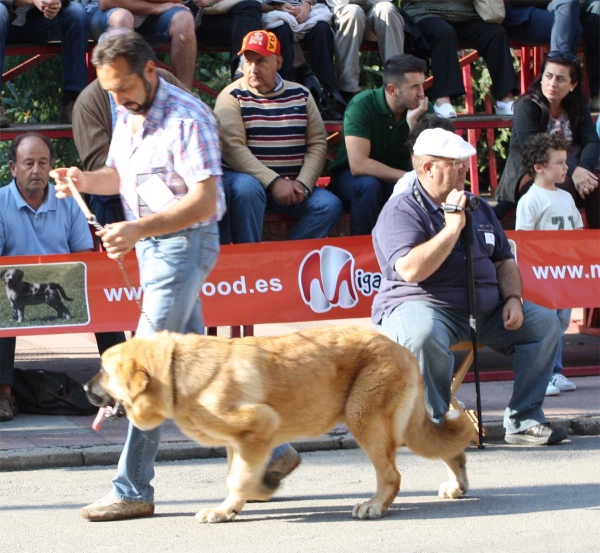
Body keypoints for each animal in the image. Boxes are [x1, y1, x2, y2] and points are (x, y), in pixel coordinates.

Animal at [84, 328, 476, 520]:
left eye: (103, 370)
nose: (85, 390)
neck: (174, 369)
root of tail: (402, 349)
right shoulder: (239, 442)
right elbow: (237, 475)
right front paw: (239, 502)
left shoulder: (258, 427)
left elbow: (238, 479)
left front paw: (240, 501)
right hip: (401, 425)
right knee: (451, 449)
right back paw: (457, 485)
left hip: (364, 418)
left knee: (392, 475)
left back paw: (374, 506)